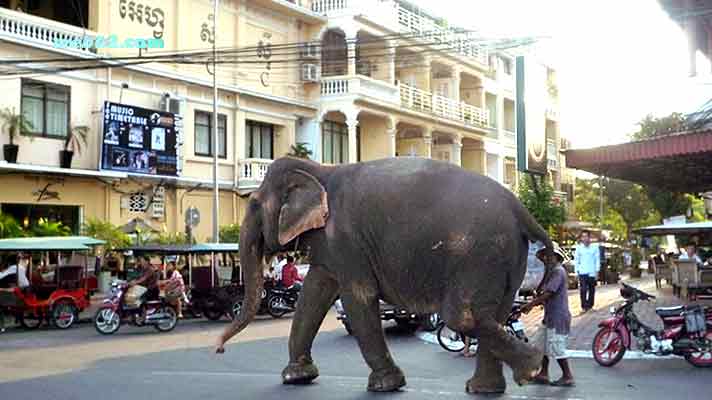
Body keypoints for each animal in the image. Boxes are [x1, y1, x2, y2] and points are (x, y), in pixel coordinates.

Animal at [214, 155, 552, 394]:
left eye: (254, 205)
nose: (218, 348)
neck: (319, 170)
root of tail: (521, 210)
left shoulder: (346, 239)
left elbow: (357, 296)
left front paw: (386, 385)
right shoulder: (331, 246)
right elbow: (314, 293)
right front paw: (296, 377)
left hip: (480, 253)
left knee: (462, 317)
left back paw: (533, 369)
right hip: (506, 256)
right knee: (496, 312)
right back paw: (487, 387)